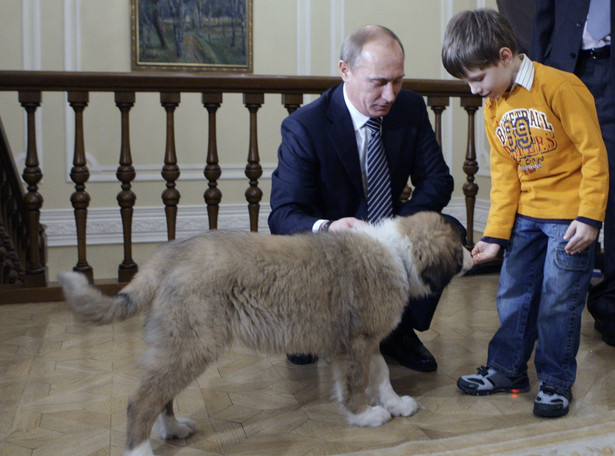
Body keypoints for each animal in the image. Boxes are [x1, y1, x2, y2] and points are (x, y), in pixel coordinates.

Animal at [59, 212, 472, 454]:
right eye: (460, 243)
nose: (473, 254)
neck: (397, 252)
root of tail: (170, 254)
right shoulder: (357, 343)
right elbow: (357, 383)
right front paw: (364, 416)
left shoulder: (365, 340)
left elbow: (381, 375)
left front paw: (395, 404)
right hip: (192, 343)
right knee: (142, 399)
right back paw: (141, 448)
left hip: (179, 343)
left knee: (161, 393)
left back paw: (173, 428)